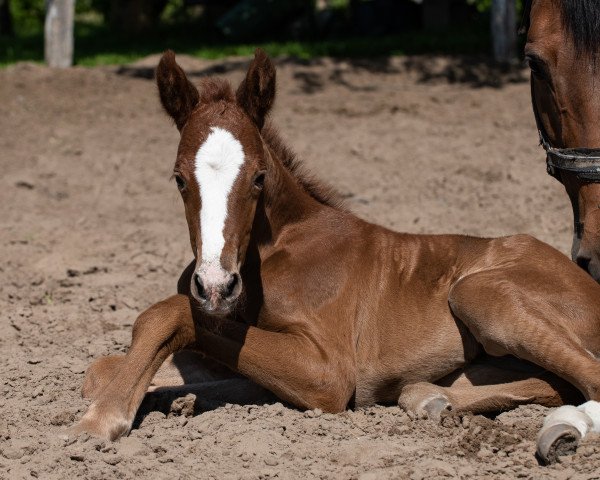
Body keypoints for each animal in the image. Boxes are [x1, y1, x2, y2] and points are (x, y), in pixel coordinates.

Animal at [75, 49, 600, 464]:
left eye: (259, 177)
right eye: (179, 178)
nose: (217, 286)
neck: (275, 251)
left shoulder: (327, 372)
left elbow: (166, 314)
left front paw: (101, 420)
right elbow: (103, 365)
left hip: (479, 291)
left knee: (590, 382)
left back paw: (561, 431)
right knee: (547, 382)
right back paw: (429, 399)